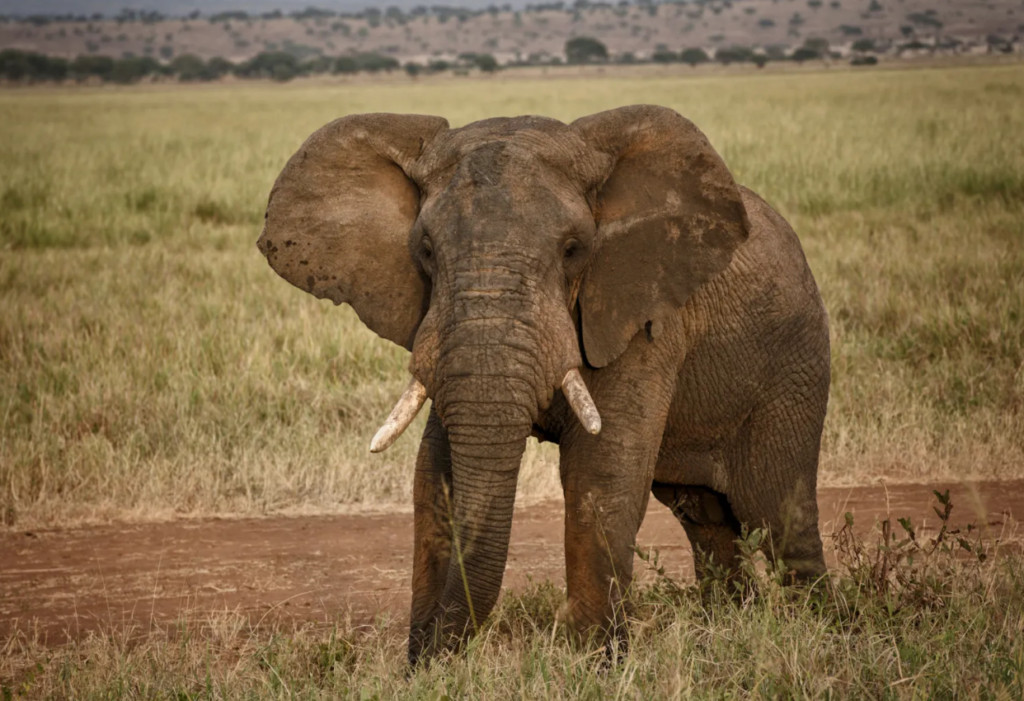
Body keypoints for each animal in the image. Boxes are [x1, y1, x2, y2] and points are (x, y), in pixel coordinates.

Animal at [257, 105, 830, 664]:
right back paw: (728, 626)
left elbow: (599, 472)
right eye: (425, 250)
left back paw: (817, 629)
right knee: (706, 517)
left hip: (794, 366)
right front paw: (426, 667)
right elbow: (434, 473)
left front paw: (593, 662)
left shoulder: (638, 315)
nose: (432, 653)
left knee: (779, 515)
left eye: (574, 249)